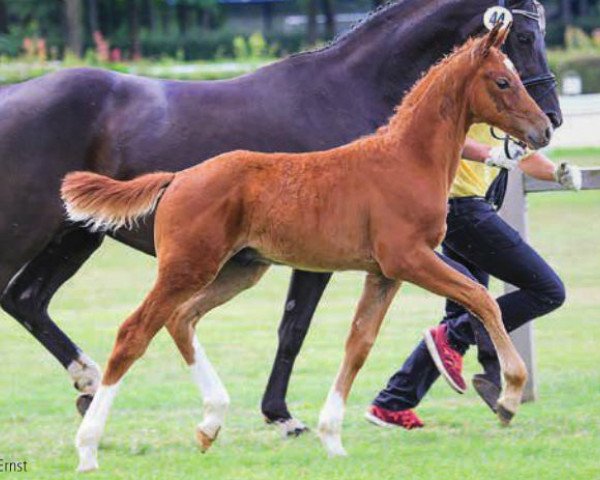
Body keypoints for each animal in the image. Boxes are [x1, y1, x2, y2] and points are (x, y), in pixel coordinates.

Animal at [1, 0, 564, 428]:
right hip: (32, 231)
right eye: (522, 39)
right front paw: (281, 413)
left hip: (77, 236)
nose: (551, 122)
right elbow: (295, 328)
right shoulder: (332, 258)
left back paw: (89, 381)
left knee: (27, 300)